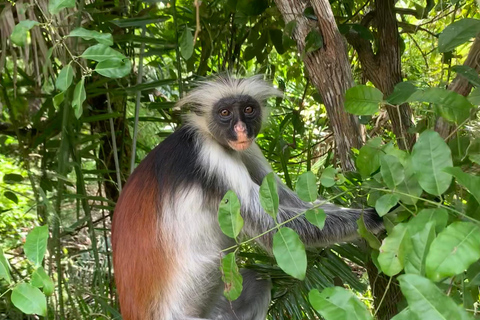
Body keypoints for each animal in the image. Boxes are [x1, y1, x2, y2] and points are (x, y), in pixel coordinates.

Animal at [111, 77, 382, 320]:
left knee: (259, 281)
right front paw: (373, 218)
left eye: (248, 110)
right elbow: (273, 227)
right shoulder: (211, 157)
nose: (241, 129)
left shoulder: (246, 148)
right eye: (225, 112)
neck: (208, 135)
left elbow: (290, 201)